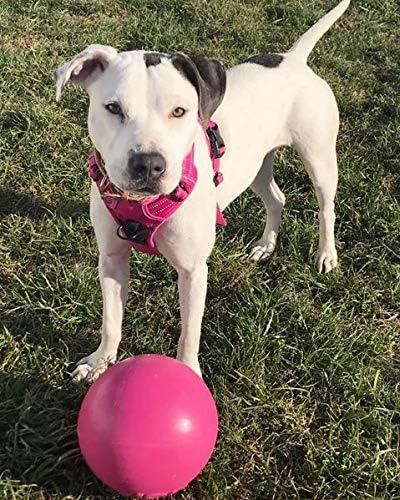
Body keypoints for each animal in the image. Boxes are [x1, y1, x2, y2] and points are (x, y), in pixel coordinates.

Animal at [54, 0, 352, 378]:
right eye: (113, 108)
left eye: (180, 111)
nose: (148, 164)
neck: (142, 205)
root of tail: (293, 59)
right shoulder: (111, 259)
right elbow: (111, 320)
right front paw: (100, 363)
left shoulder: (193, 271)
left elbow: (189, 333)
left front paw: (189, 372)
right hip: (255, 166)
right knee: (276, 198)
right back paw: (266, 246)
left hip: (319, 159)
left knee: (326, 208)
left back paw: (326, 254)